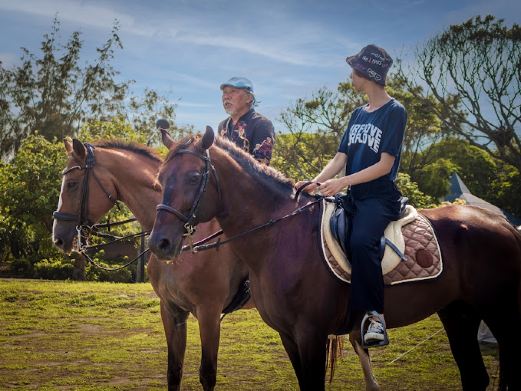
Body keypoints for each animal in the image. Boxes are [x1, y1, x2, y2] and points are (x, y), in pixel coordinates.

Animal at [51, 139, 251, 391]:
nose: (58, 238)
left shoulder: (209, 313)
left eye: (72, 184)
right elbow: (174, 371)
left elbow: (207, 374)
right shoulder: (172, 310)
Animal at [147, 127, 520, 390]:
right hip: (458, 312)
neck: (279, 237)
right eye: (160, 179)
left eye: (194, 177)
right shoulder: (288, 335)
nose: (160, 243)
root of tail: (503, 224)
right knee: (476, 377)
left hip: (499, 312)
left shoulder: (311, 334)